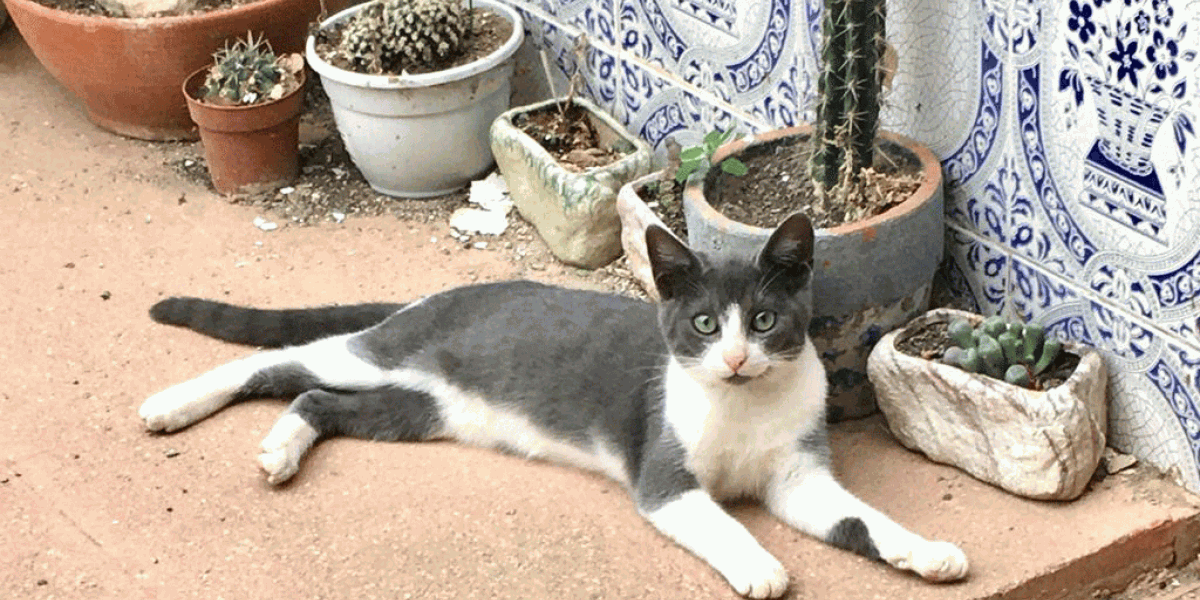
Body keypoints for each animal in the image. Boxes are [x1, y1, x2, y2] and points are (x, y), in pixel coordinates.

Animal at [138, 213, 964, 597]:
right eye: (704, 325)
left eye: (763, 322)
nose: (734, 358)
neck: (744, 408)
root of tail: (430, 298)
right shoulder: (664, 477)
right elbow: (718, 520)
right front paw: (759, 564)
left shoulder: (798, 476)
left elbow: (861, 518)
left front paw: (926, 550)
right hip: (378, 356)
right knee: (281, 361)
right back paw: (172, 403)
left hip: (427, 410)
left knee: (317, 397)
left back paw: (281, 448)